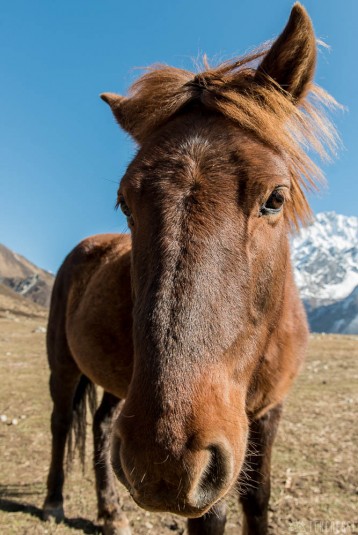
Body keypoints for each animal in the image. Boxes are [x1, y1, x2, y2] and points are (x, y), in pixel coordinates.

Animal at [42, 5, 338, 535]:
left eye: (275, 198)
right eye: (125, 202)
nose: (163, 462)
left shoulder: (268, 414)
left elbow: (257, 498)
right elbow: (214, 515)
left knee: (101, 424)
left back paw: (110, 512)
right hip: (65, 364)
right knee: (60, 421)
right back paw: (55, 500)